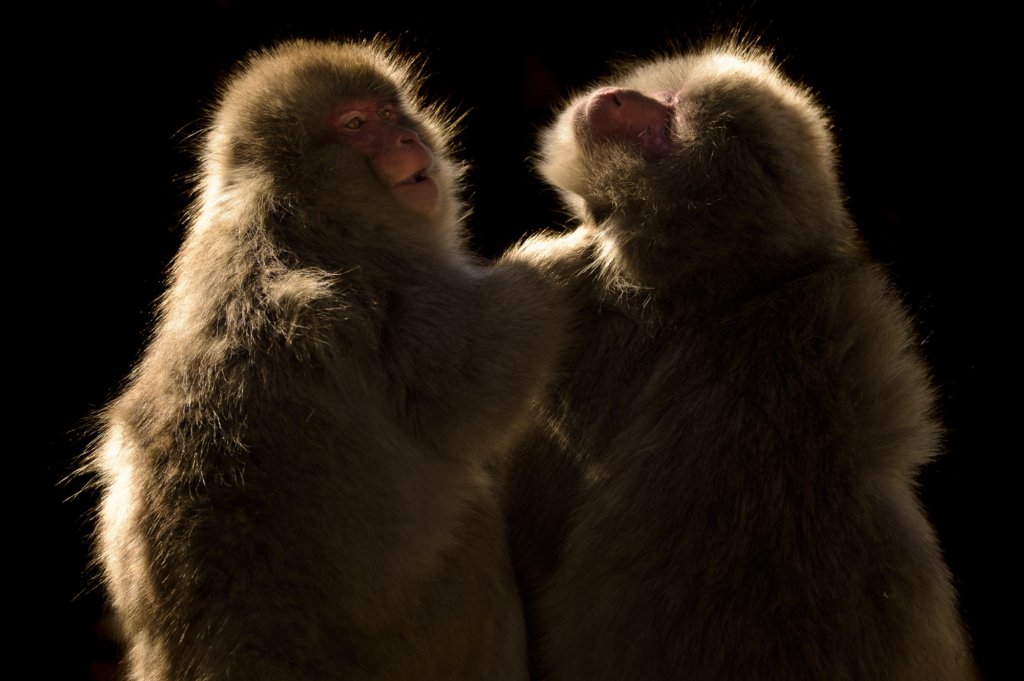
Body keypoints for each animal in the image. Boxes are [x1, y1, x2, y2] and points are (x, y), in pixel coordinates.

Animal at [90, 39, 569, 675]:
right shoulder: (378, 277)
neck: (290, 204)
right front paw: (562, 258)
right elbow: (467, 395)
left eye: (390, 113)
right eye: (357, 125)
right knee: (471, 526)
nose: (407, 140)